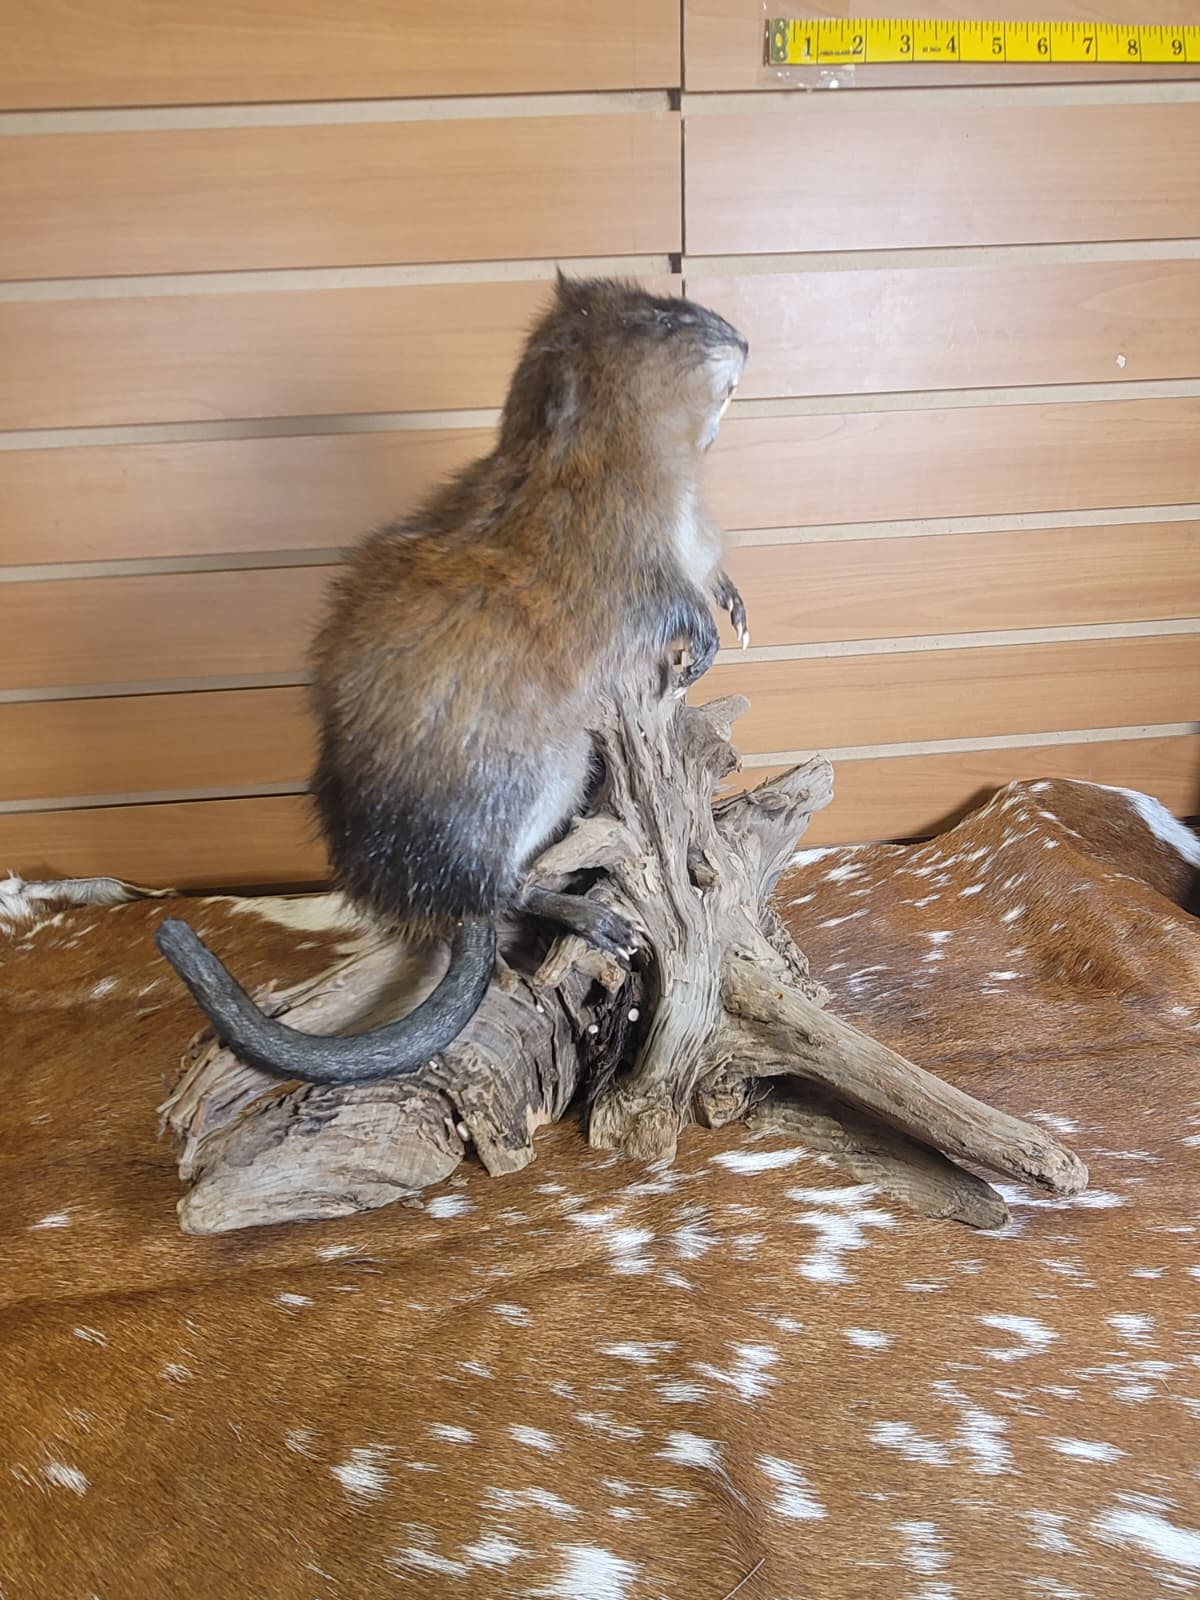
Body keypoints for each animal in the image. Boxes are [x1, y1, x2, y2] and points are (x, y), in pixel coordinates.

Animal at [155, 273, 749, 1084]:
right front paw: (709, 639)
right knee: (510, 891)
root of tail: (446, 903)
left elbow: (710, 571)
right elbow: (669, 602)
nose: (743, 339)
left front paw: (736, 607)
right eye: (658, 319)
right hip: (536, 769)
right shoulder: (619, 561)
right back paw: (598, 920)